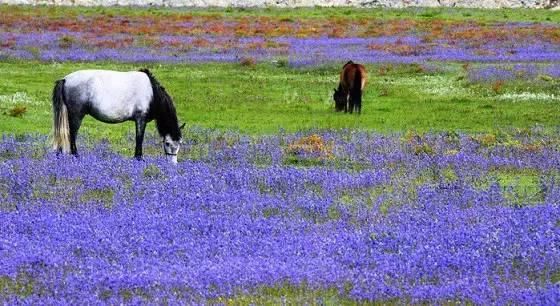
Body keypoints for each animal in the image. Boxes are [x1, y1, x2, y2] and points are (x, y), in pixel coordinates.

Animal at [52, 68, 185, 165]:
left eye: (180, 143)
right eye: (167, 143)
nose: (173, 164)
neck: (152, 93)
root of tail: (65, 79)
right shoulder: (140, 119)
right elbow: (139, 138)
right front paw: (138, 158)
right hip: (76, 116)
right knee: (72, 135)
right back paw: (75, 156)